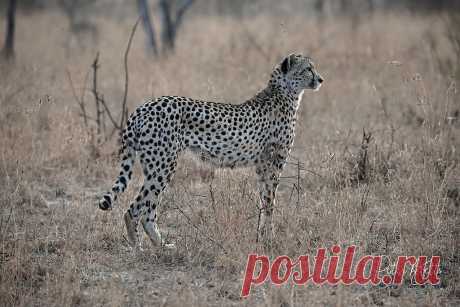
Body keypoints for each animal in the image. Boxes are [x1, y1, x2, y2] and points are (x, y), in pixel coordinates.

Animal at [99, 53, 324, 250]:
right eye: (308, 69)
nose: (321, 79)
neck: (284, 92)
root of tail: (143, 107)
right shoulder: (273, 164)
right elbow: (270, 202)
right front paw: (270, 239)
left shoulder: (262, 166)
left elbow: (264, 202)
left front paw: (261, 237)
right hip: (163, 167)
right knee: (135, 209)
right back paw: (138, 247)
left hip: (157, 167)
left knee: (148, 210)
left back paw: (161, 245)